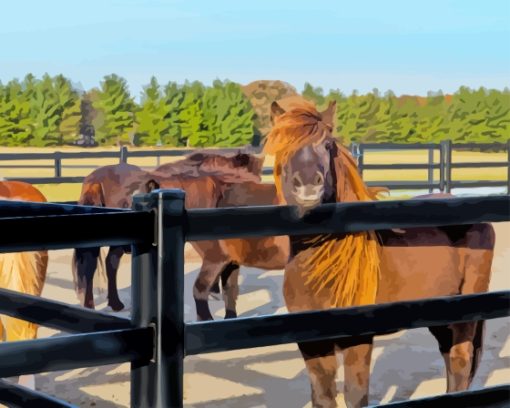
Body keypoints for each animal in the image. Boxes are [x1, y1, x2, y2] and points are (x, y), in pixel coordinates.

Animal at [72, 151, 264, 310]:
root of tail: (96, 179)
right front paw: (214, 289)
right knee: (92, 267)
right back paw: (92, 305)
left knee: (108, 264)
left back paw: (114, 303)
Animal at [264, 96, 496, 408]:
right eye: (281, 146)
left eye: (328, 144)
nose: (308, 186)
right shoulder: (311, 343)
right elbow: (323, 396)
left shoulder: (358, 339)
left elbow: (355, 394)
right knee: (450, 358)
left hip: (466, 308)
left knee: (460, 360)